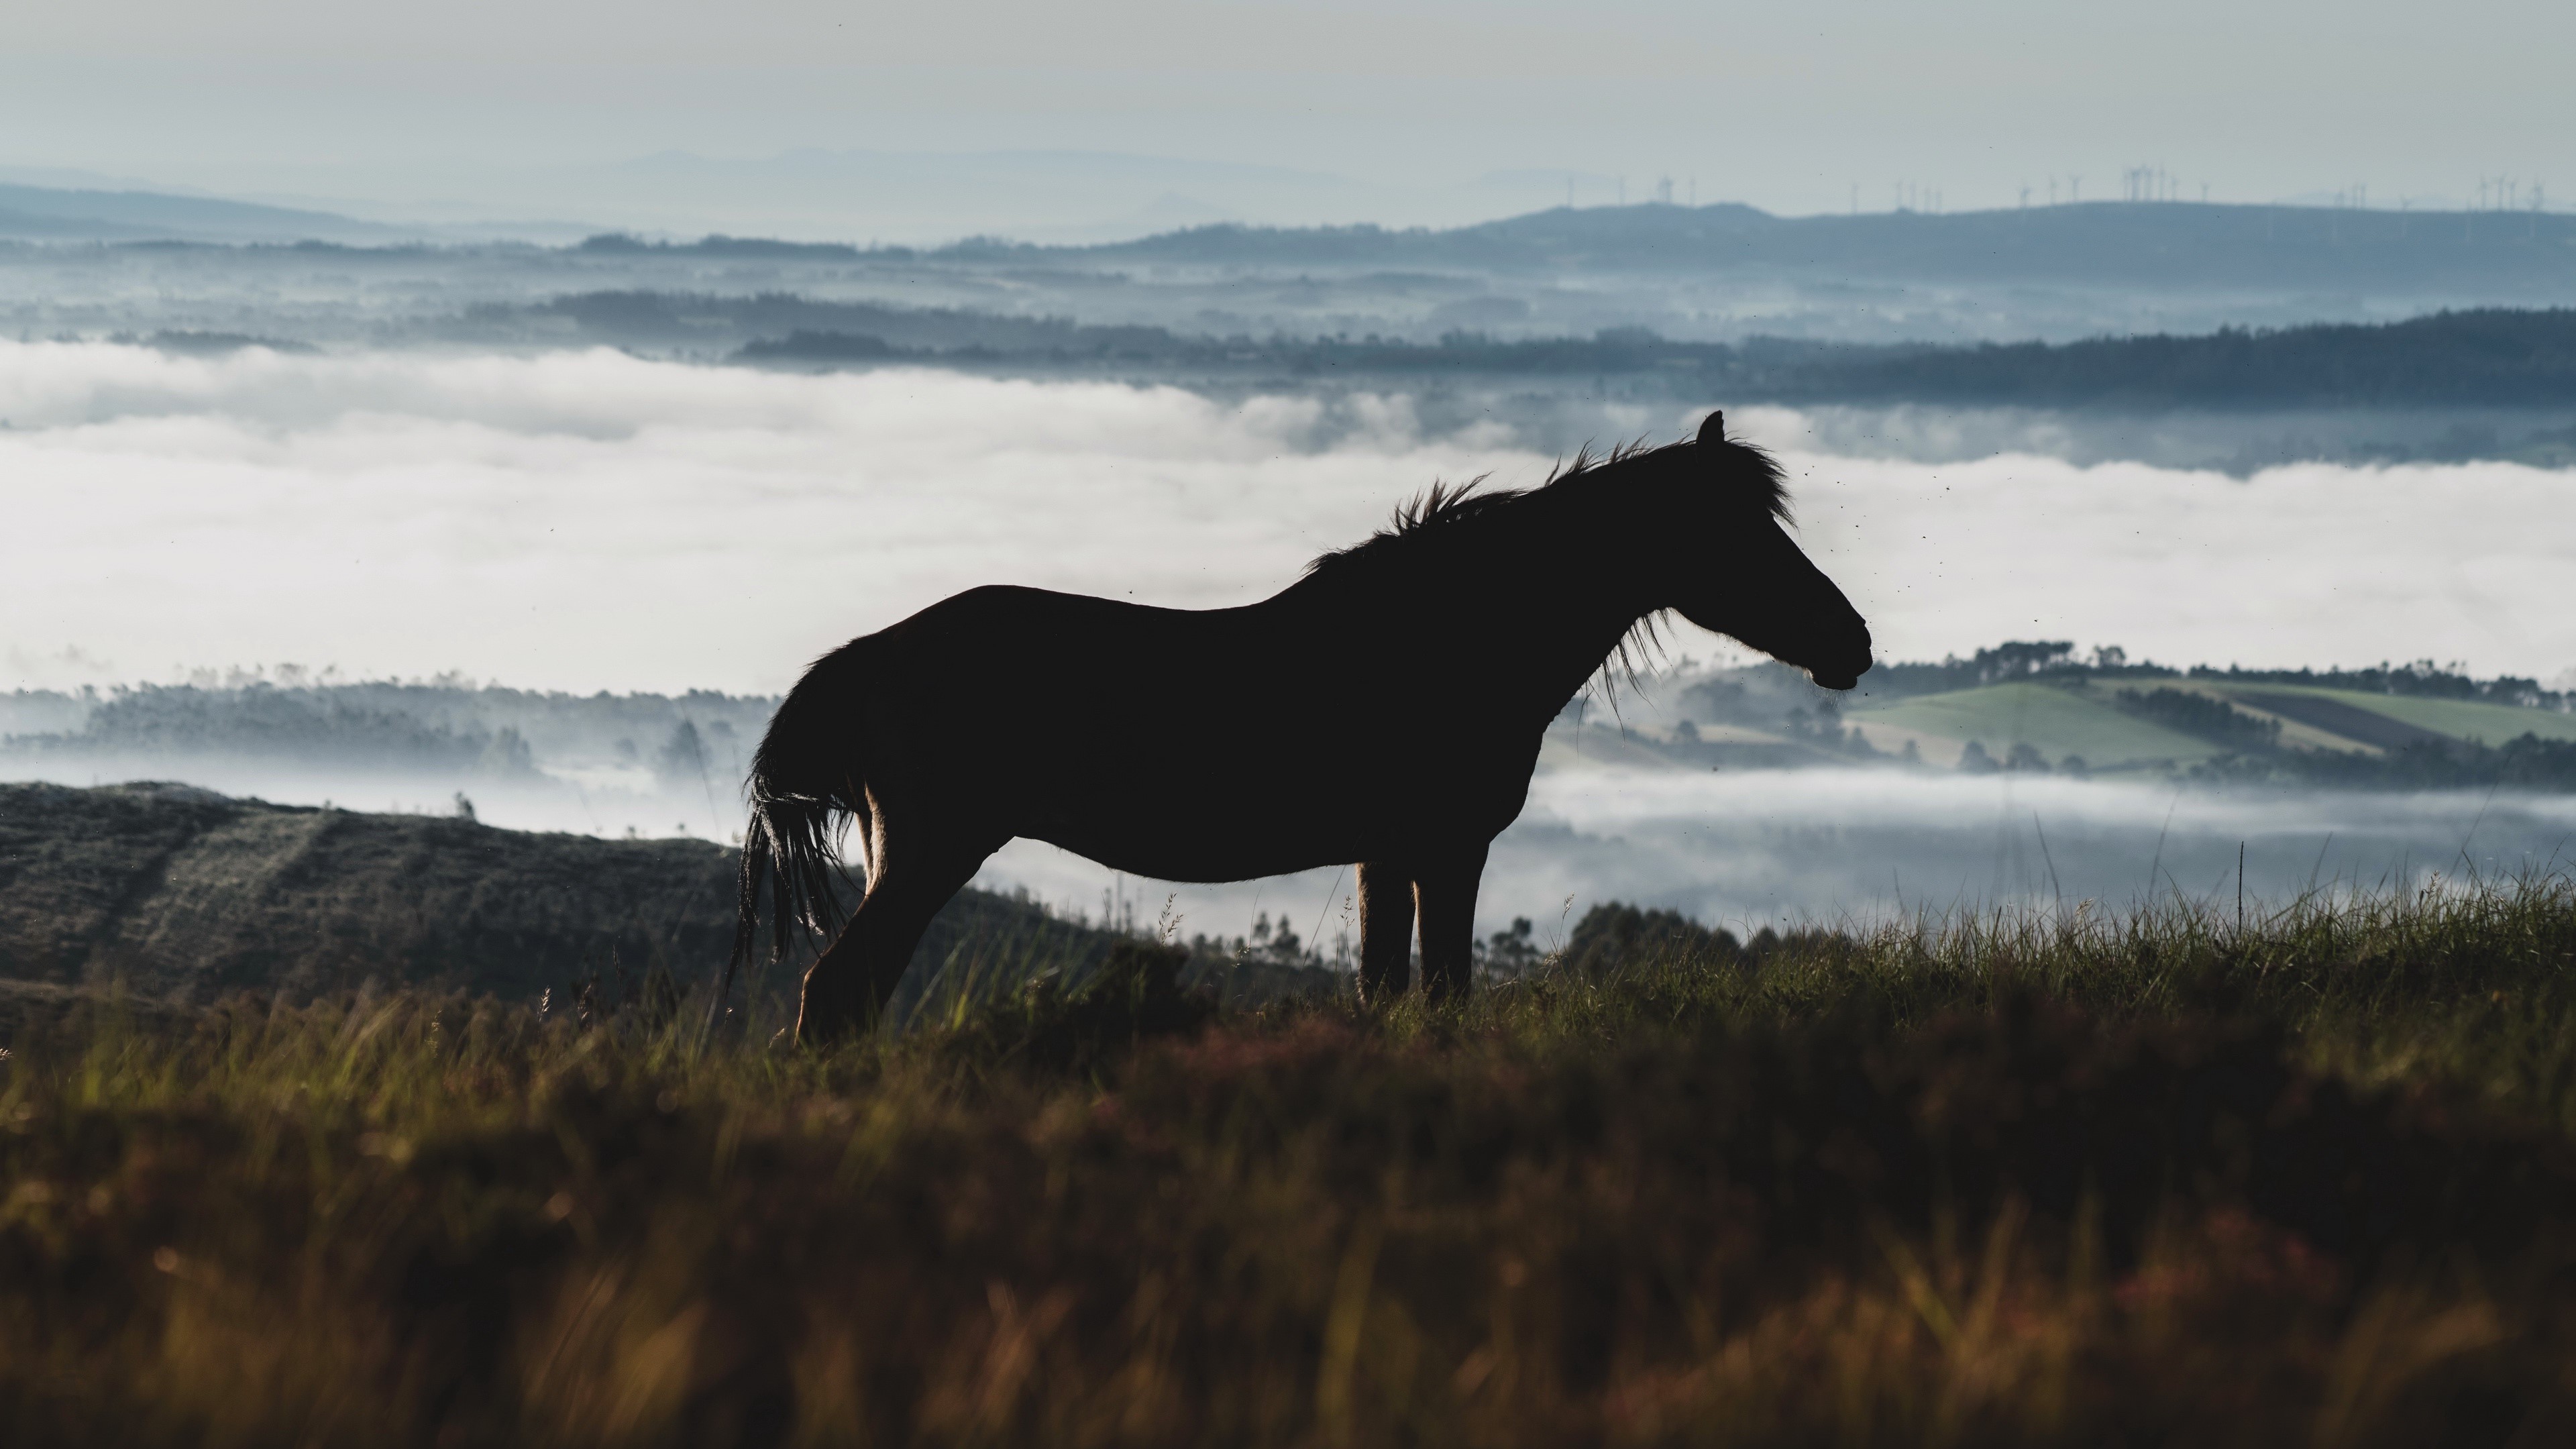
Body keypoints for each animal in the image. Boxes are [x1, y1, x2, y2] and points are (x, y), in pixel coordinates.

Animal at [730, 409, 1872, 1042]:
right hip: (931, 855)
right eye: (1745, 535)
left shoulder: (1385, 858)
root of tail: (865, 657)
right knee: (837, 998)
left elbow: (1385, 995)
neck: (1454, 635)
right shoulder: (1447, 851)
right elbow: (1442, 997)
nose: (1851, 642)